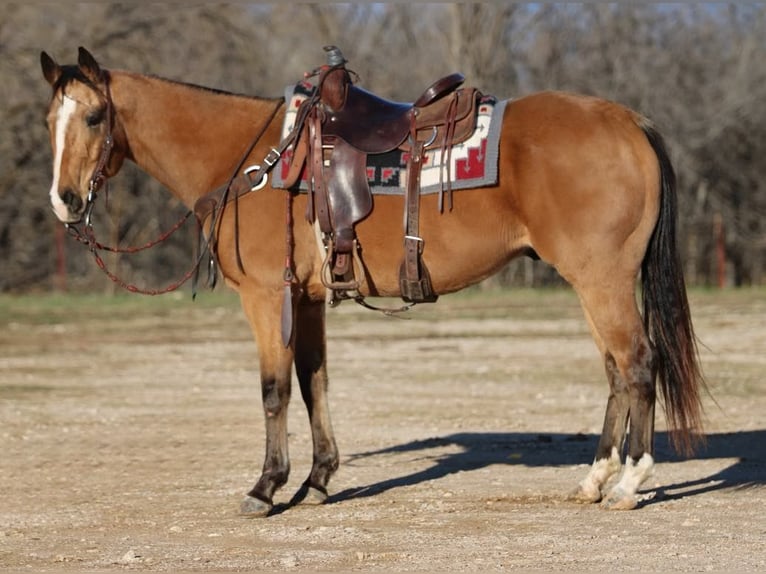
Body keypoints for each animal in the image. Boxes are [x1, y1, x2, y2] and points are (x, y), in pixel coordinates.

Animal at [39, 47, 704, 516]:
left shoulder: (266, 298)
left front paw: (265, 487)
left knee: (637, 364)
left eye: (94, 116)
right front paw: (317, 480)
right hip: (592, 283)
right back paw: (594, 480)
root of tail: (630, 121)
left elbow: (274, 391)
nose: (64, 201)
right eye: (50, 120)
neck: (251, 161)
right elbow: (314, 383)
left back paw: (631, 482)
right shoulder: (306, 299)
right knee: (616, 371)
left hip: (603, 280)